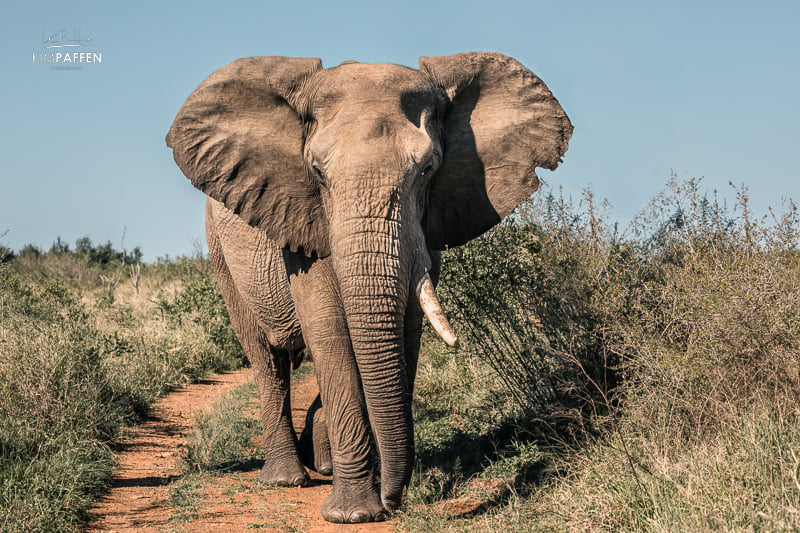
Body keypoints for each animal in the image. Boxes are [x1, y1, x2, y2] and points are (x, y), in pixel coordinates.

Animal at [166, 52, 572, 520]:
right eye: (317, 172)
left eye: (428, 170)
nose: (394, 502)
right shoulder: (304, 219)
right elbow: (329, 332)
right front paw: (354, 513)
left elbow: (406, 331)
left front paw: (377, 498)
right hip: (222, 253)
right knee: (267, 359)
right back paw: (287, 477)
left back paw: (320, 464)